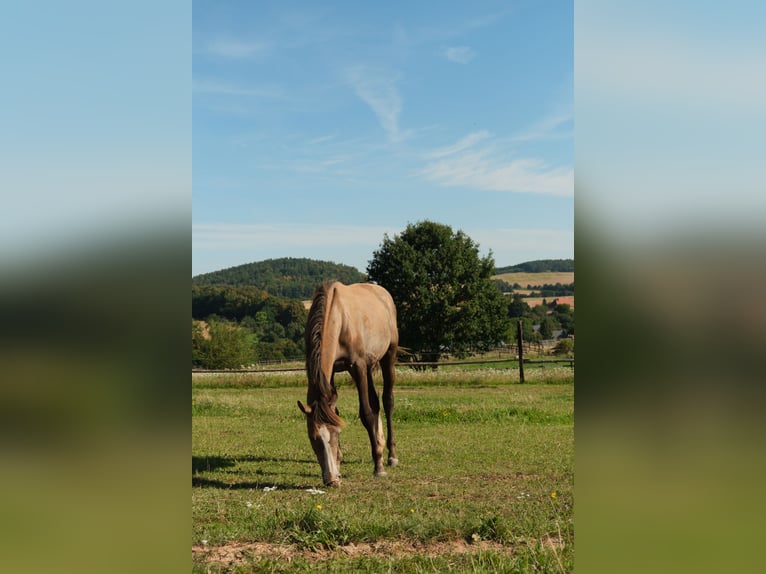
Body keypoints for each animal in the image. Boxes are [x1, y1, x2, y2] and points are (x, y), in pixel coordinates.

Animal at [297, 280, 399, 486]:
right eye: (313, 438)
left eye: (335, 434)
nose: (330, 479)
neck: (338, 317)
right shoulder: (330, 372)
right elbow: (336, 410)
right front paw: (339, 463)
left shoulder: (357, 366)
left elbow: (366, 413)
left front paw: (379, 467)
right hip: (369, 364)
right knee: (376, 402)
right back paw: (379, 445)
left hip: (388, 356)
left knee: (387, 401)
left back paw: (391, 456)